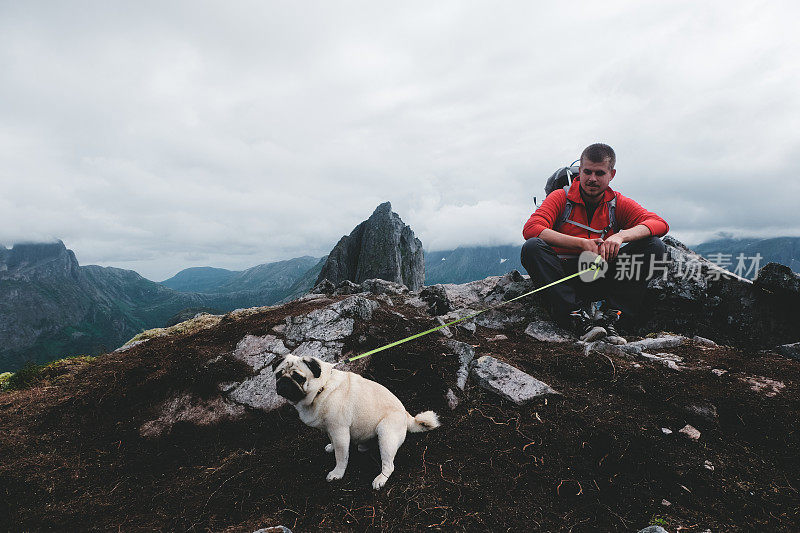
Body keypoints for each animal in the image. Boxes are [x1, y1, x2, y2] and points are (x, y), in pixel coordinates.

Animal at [272, 352, 440, 488]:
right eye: (278, 374)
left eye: (298, 377)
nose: (284, 382)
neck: (321, 388)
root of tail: (406, 415)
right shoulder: (330, 429)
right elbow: (332, 441)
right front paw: (331, 447)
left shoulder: (339, 431)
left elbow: (341, 457)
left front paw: (337, 474)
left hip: (386, 434)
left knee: (389, 465)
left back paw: (380, 479)